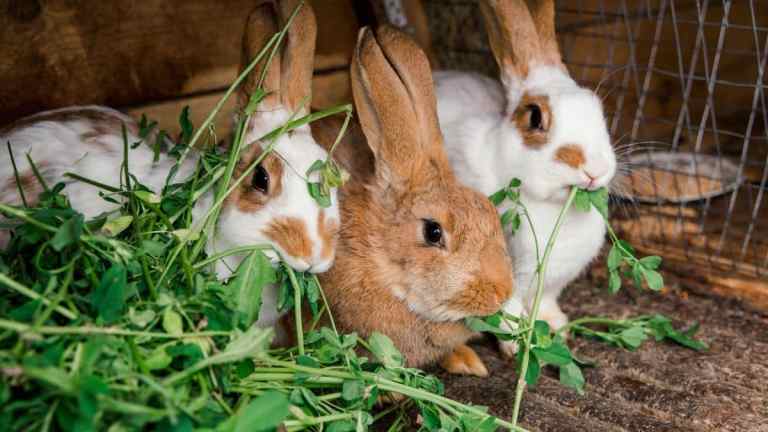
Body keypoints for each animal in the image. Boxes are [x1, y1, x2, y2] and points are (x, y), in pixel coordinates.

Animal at [432, 0, 617, 354]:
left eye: (598, 110)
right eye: (534, 117)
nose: (595, 169)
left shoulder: (551, 284)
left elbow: (544, 302)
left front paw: (556, 326)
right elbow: (506, 309)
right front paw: (517, 345)